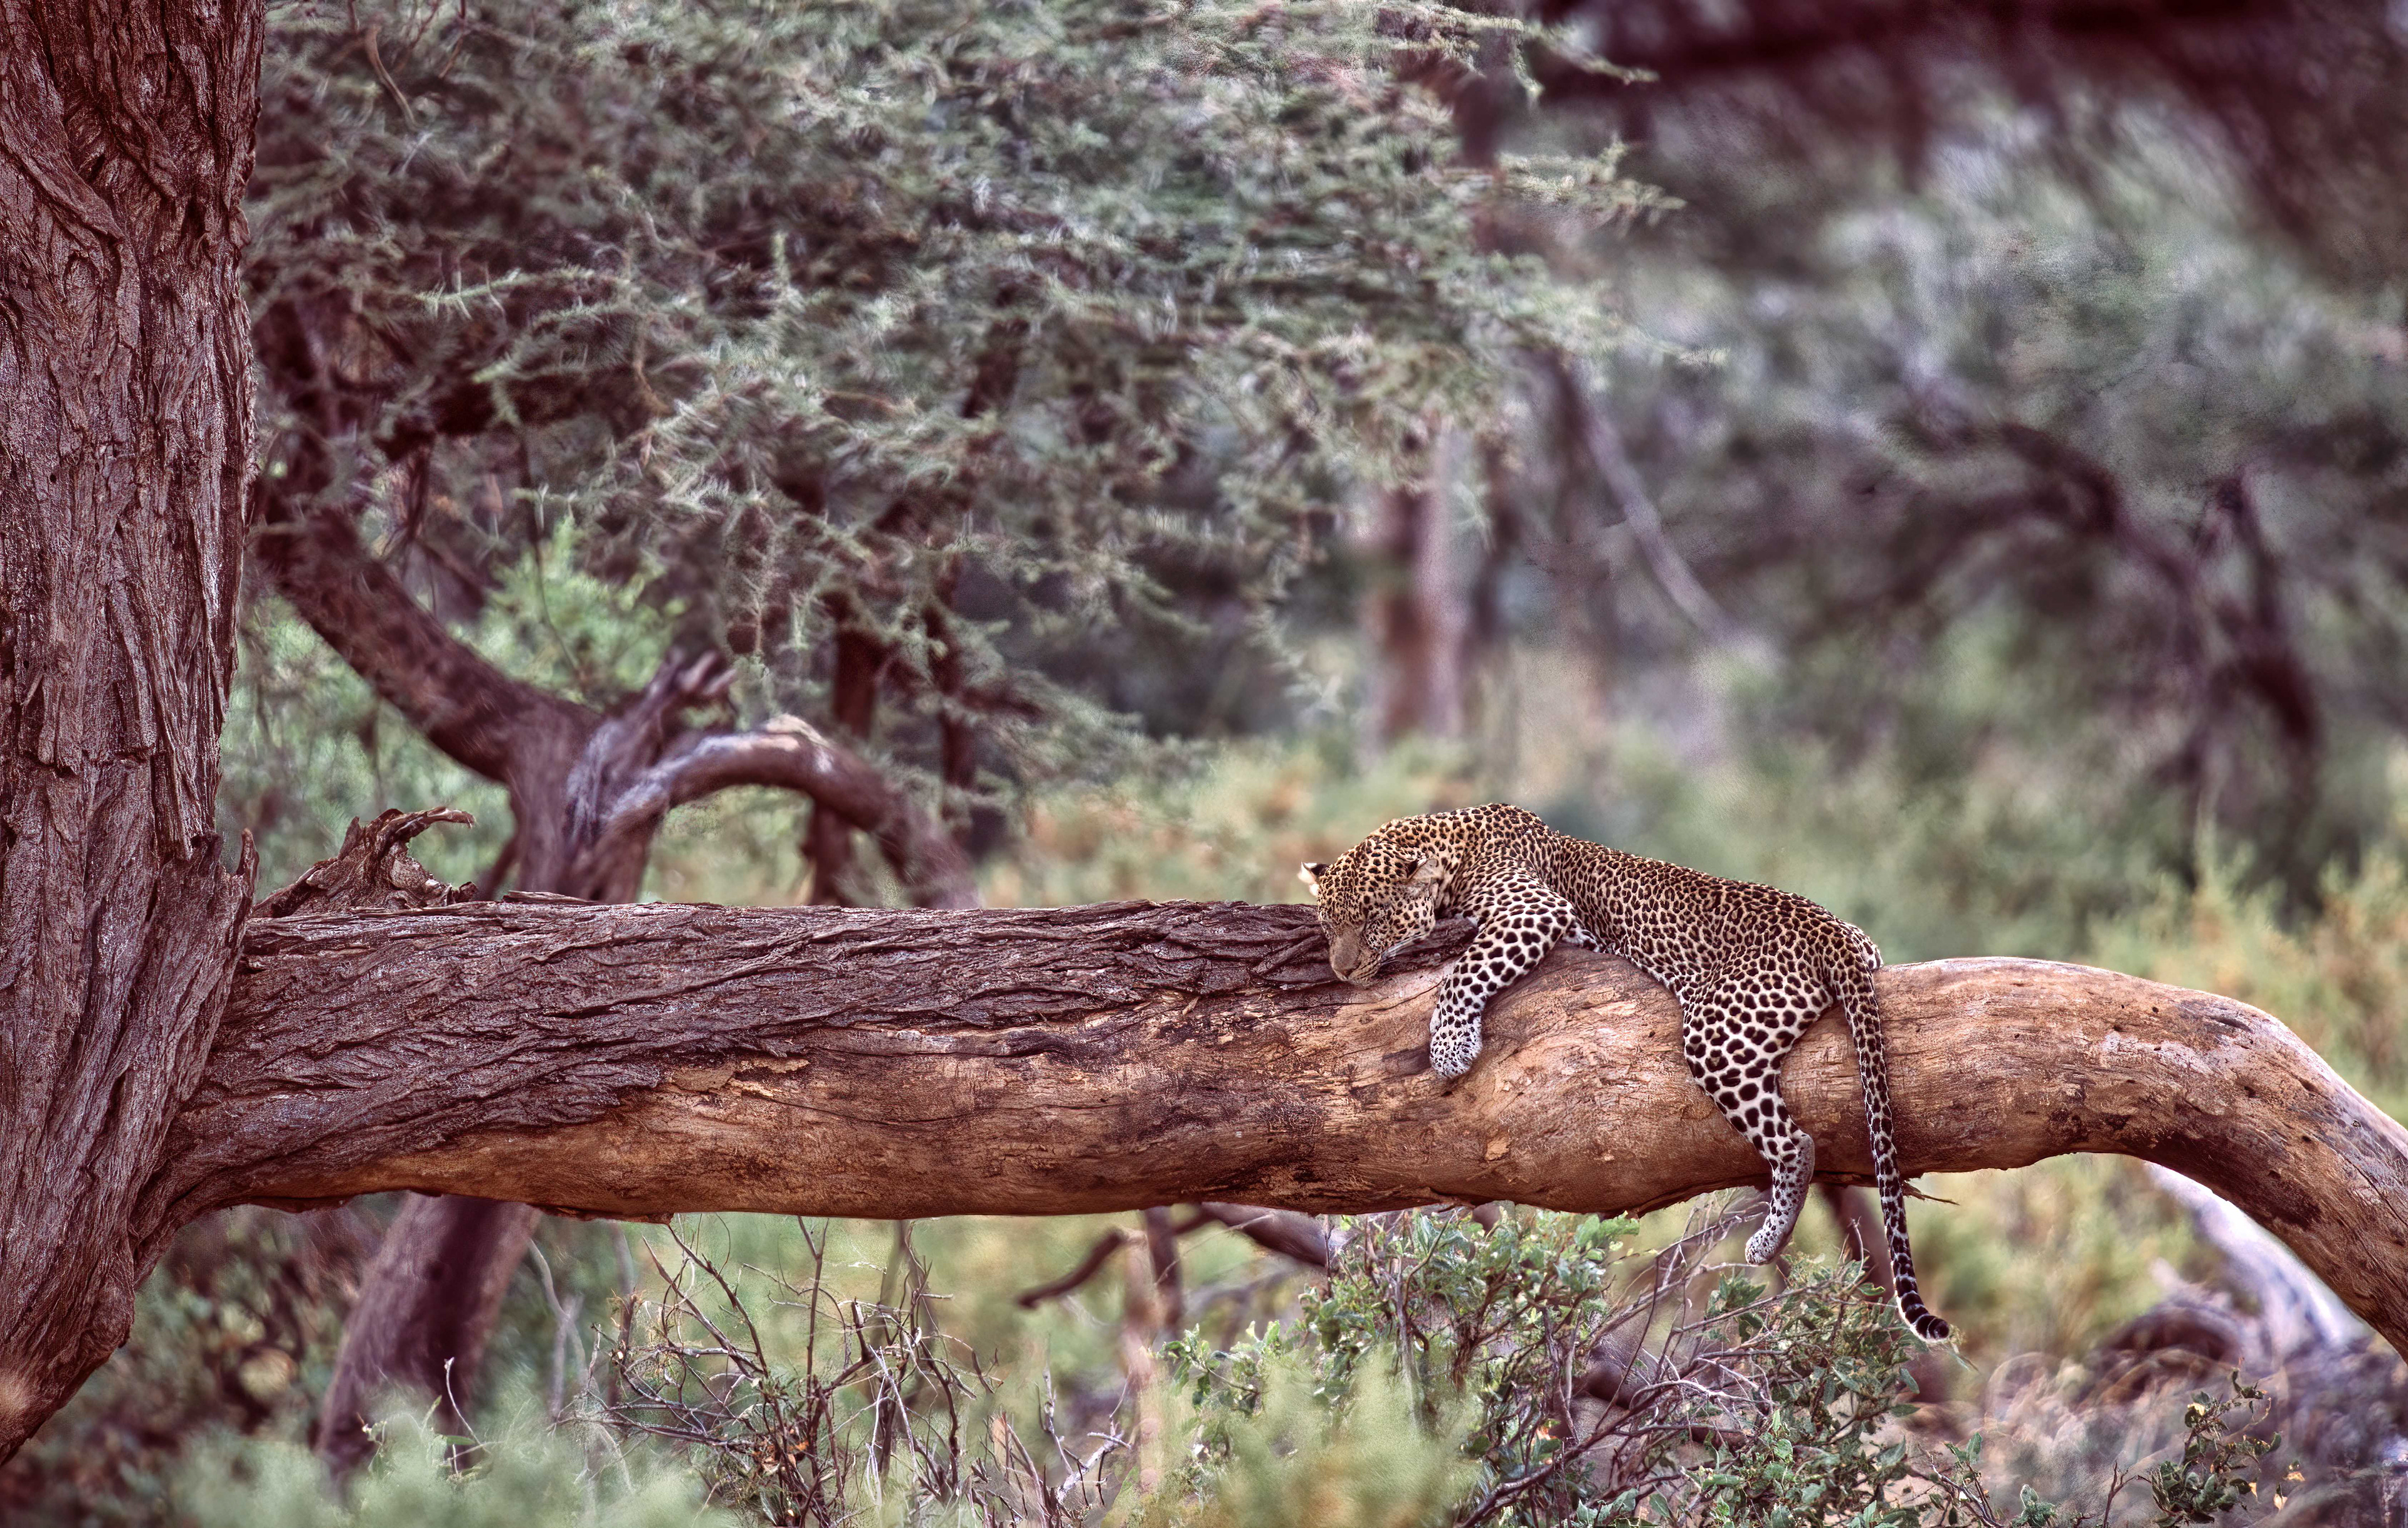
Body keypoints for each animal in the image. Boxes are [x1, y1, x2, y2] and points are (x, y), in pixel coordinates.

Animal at [1301, 802, 1950, 1342]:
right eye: (1329, 924)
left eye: (1374, 918)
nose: (1341, 970)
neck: (1447, 838)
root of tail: (1831, 931)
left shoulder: (1532, 909)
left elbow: (1463, 972)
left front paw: (1450, 1047)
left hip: (1717, 1032)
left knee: (1798, 1143)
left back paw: (1768, 1239)